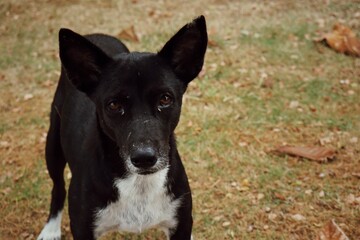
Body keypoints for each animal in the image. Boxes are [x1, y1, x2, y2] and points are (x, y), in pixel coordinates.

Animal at [37, 15, 207, 239]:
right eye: (114, 105)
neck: (138, 183)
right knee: (58, 186)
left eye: (165, 99)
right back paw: (50, 229)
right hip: (53, 145)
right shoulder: (83, 228)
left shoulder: (181, 221)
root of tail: (97, 34)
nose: (144, 158)